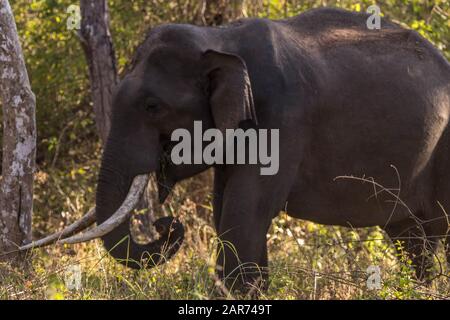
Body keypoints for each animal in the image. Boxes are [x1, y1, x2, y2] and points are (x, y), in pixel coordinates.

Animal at [25, 7, 450, 292]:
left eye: (153, 107)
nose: (167, 225)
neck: (219, 40)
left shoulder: (282, 120)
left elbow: (243, 214)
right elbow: (225, 211)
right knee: (412, 240)